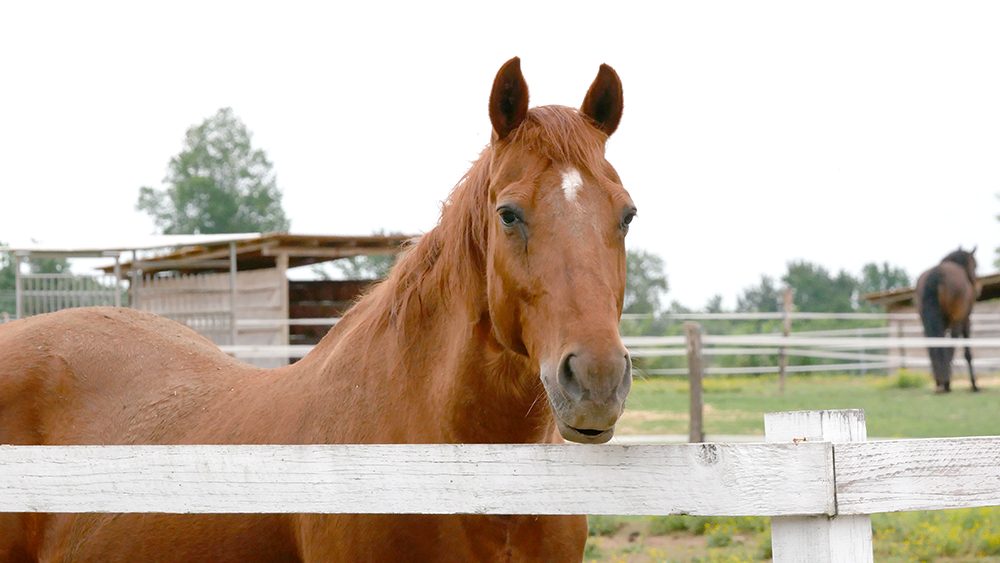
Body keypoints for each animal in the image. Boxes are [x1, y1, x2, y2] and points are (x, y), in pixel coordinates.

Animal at [915, 246, 980, 393]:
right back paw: (946, 383)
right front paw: (974, 385)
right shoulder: (965, 321)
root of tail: (936, 273)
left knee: (932, 347)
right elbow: (967, 353)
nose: (977, 287)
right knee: (951, 346)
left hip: (926, 324)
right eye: (975, 265)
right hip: (956, 322)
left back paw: (939, 381)